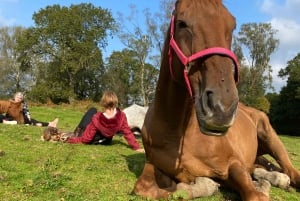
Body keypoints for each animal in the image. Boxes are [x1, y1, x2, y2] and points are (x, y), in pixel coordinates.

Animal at [133, 0, 300, 200]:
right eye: (182, 23)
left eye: (232, 26)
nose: (223, 108)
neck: (177, 131)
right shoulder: (152, 164)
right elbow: (145, 187)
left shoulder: (233, 163)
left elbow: (250, 190)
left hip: (271, 138)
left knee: (291, 172)